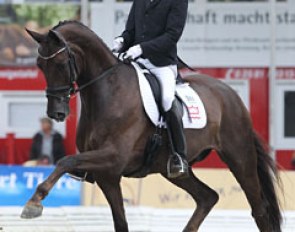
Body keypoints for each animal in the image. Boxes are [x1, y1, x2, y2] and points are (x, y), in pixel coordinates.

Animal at [22, 20, 282, 231]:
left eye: (60, 63)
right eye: (39, 65)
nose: (56, 113)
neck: (108, 92)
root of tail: (231, 94)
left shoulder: (113, 157)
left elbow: (65, 161)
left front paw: (34, 202)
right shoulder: (107, 175)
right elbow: (120, 223)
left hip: (240, 158)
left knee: (259, 210)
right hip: (174, 170)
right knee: (207, 197)